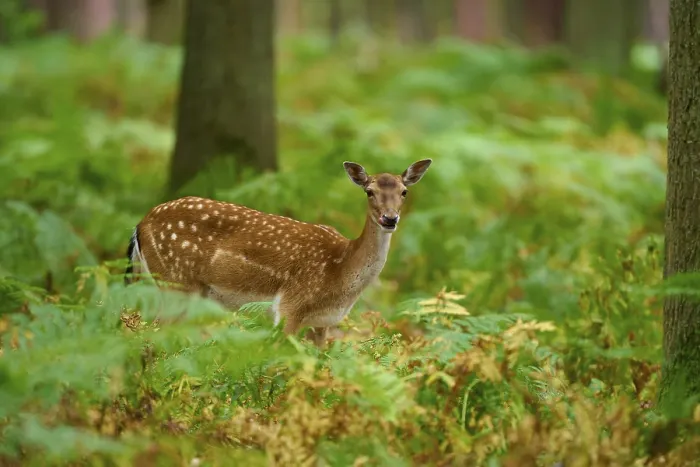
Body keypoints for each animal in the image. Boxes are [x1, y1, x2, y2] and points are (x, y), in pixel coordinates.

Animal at [124, 159, 432, 346]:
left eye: (404, 191)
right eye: (369, 191)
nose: (390, 219)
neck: (341, 271)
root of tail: (140, 224)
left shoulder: (323, 323)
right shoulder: (290, 305)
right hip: (175, 281)